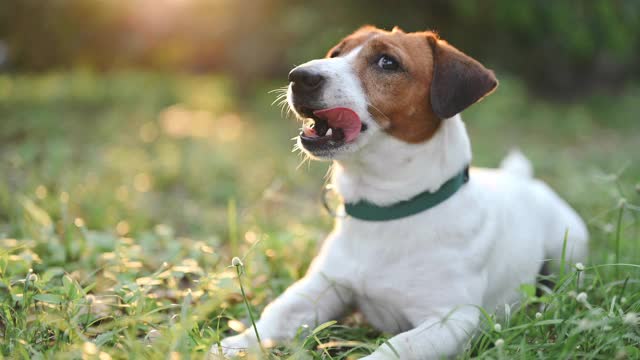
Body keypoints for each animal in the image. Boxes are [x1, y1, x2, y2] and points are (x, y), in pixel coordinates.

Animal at [211, 26, 592, 360]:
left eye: (387, 62)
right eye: (336, 53)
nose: (299, 76)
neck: (388, 209)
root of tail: (520, 178)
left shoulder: (450, 320)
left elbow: (396, 348)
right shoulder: (323, 286)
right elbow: (276, 314)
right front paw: (232, 345)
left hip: (569, 247)